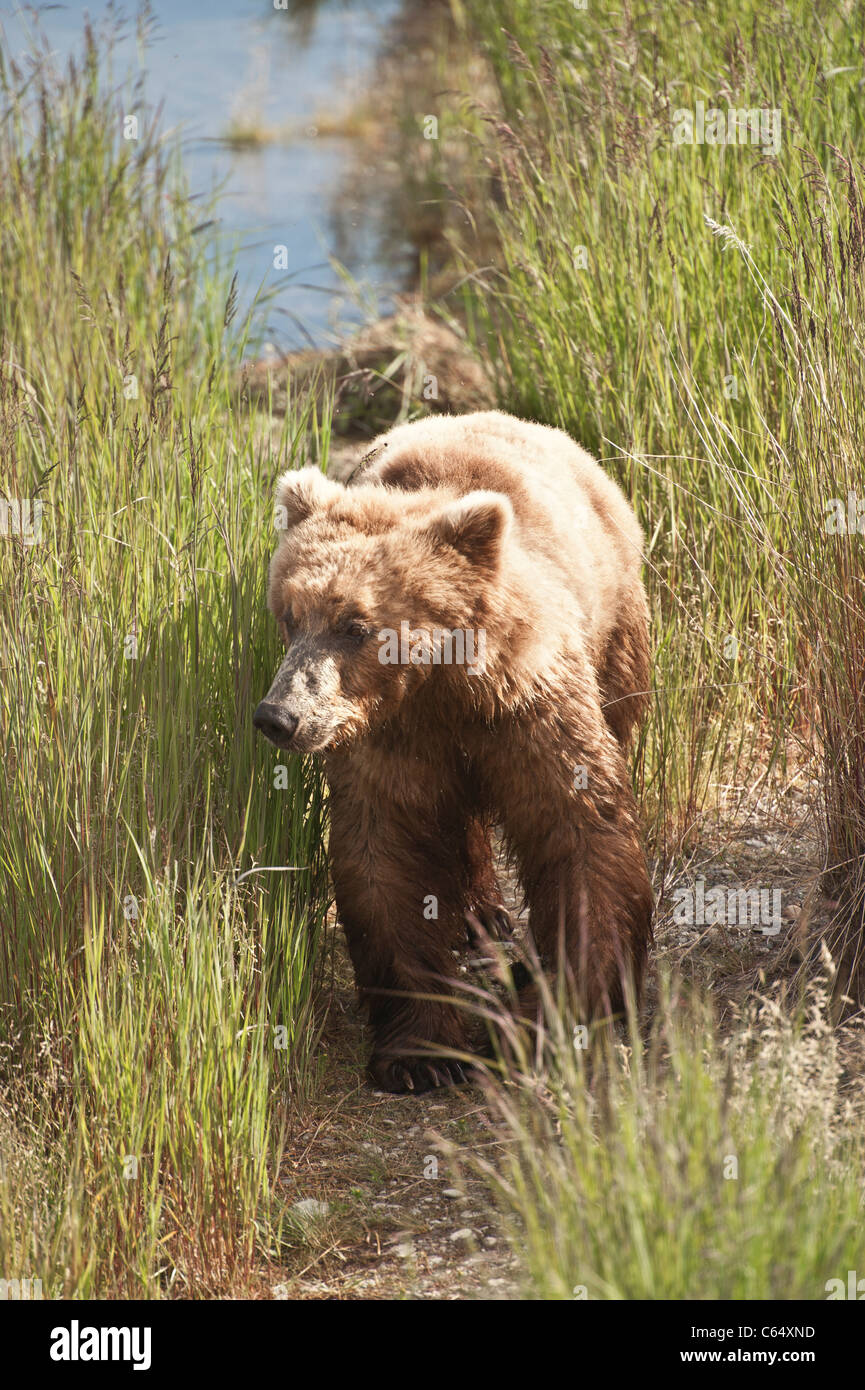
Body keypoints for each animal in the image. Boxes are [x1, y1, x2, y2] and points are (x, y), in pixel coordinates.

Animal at [254, 411, 653, 1095]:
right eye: (289, 615)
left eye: (354, 626)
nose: (278, 716)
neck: (438, 688)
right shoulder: (388, 743)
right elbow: (383, 855)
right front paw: (420, 1053)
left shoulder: (528, 710)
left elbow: (580, 832)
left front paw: (543, 1019)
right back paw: (479, 912)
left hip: (617, 635)